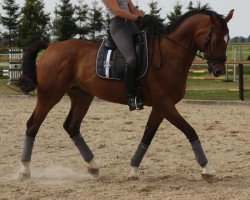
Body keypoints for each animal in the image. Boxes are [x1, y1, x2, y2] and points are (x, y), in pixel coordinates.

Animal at [18, 7, 234, 180]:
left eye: (228, 39)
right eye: (216, 39)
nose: (219, 71)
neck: (170, 54)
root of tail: (51, 47)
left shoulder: (160, 107)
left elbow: (147, 137)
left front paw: (133, 170)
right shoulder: (165, 104)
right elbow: (190, 131)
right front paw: (207, 169)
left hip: (82, 97)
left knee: (71, 126)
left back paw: (93, 167)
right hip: (50, 95)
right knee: (32, 124)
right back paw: (24, 171)